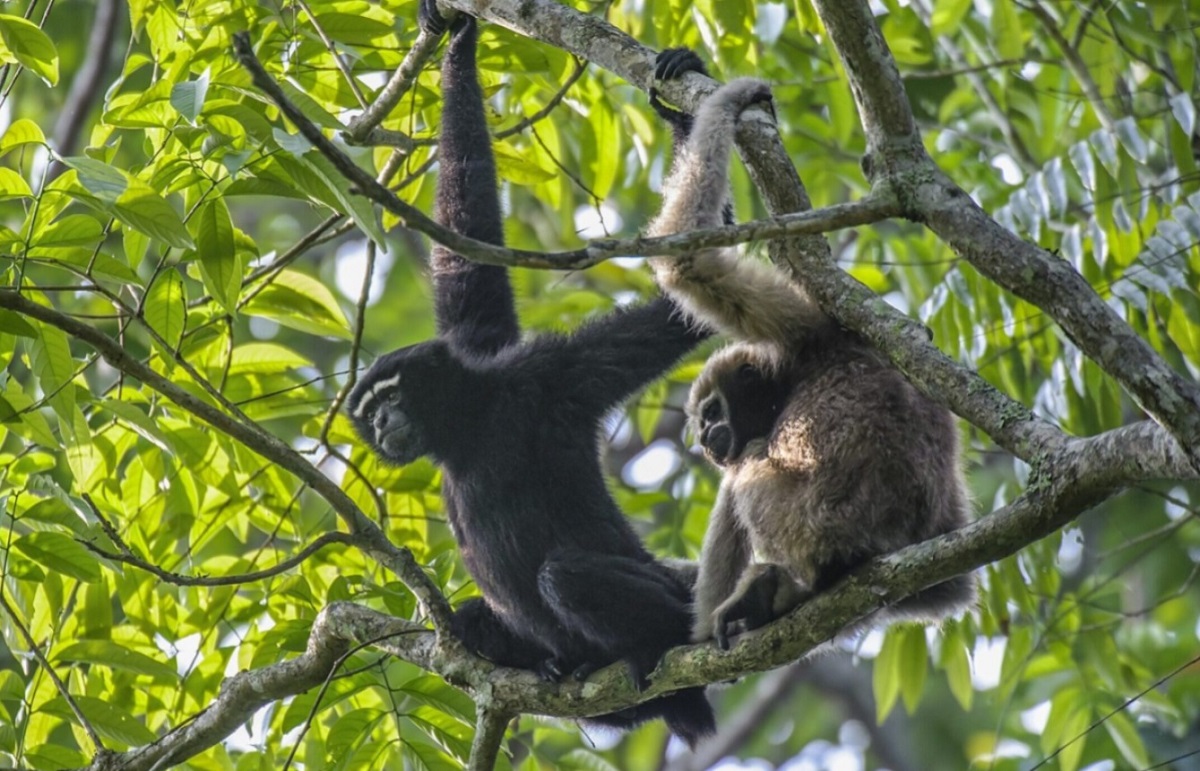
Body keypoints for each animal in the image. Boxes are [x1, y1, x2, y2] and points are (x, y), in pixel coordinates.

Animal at [347, 8, 714, 746]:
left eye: (390, 397)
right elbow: (466, 256)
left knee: (564, 575)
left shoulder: (546, 378)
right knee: (475, 615)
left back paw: (651, 646)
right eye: (370, 411)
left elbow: (685, 309)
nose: (381, 421)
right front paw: (456, 41)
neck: (472, 424)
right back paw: (560, 665)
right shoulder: (482, 347)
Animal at [646, 49, 975, 650]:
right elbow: (950, 587)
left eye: (710, 415)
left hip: (807, 522)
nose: (706, 439)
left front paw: (718, 104)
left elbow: (689, 262)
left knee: (744, 472)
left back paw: (714, 623)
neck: (790, 377)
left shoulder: (804, 324)